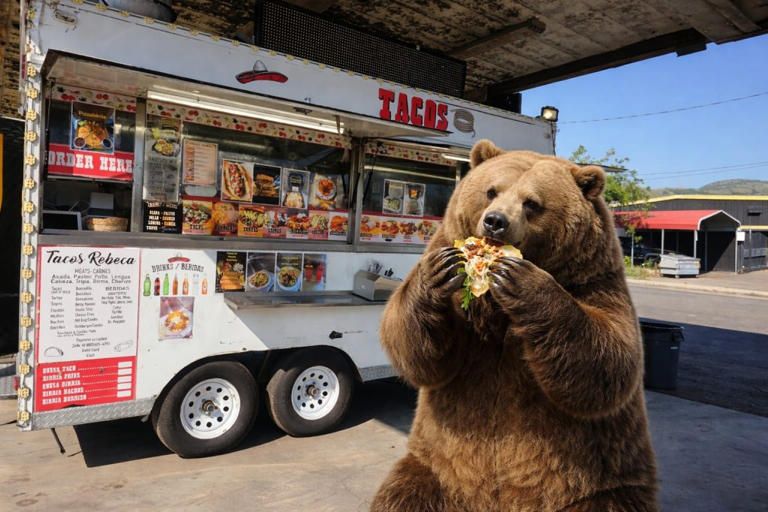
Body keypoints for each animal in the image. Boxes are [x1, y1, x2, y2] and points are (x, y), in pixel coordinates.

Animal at [371, 140, 657, 512]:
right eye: (491, 191)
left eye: (532, 202)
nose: (495, 221)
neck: (496, 307)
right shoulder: (467, 323)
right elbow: (422, 354)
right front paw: (439, 272)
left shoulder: (596, 282)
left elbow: (611, 360)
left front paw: (521, 279)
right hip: (436, 468)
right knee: (405, 495)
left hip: (599, 485)